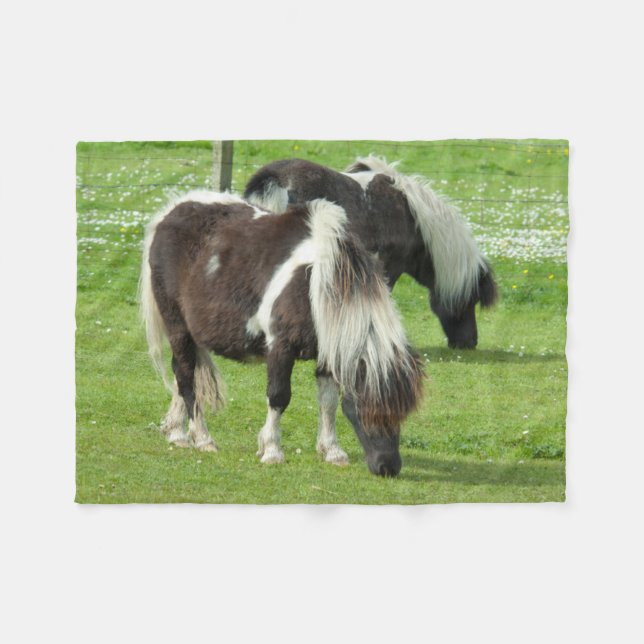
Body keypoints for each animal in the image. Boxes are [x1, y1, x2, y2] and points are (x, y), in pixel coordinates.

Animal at [139, 191, 424, 477]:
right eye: (367, 409)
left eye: (403, 413)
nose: (388, 467)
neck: (315, 284)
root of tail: (171, 212)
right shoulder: (280, 347)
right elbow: (278, 397)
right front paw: (272, 450)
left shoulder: (329, 351)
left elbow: (329, 401)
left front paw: (332, 451)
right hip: (177, 326)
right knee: (186, 375)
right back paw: (201, 438)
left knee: (183, 374)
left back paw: (176, 431)